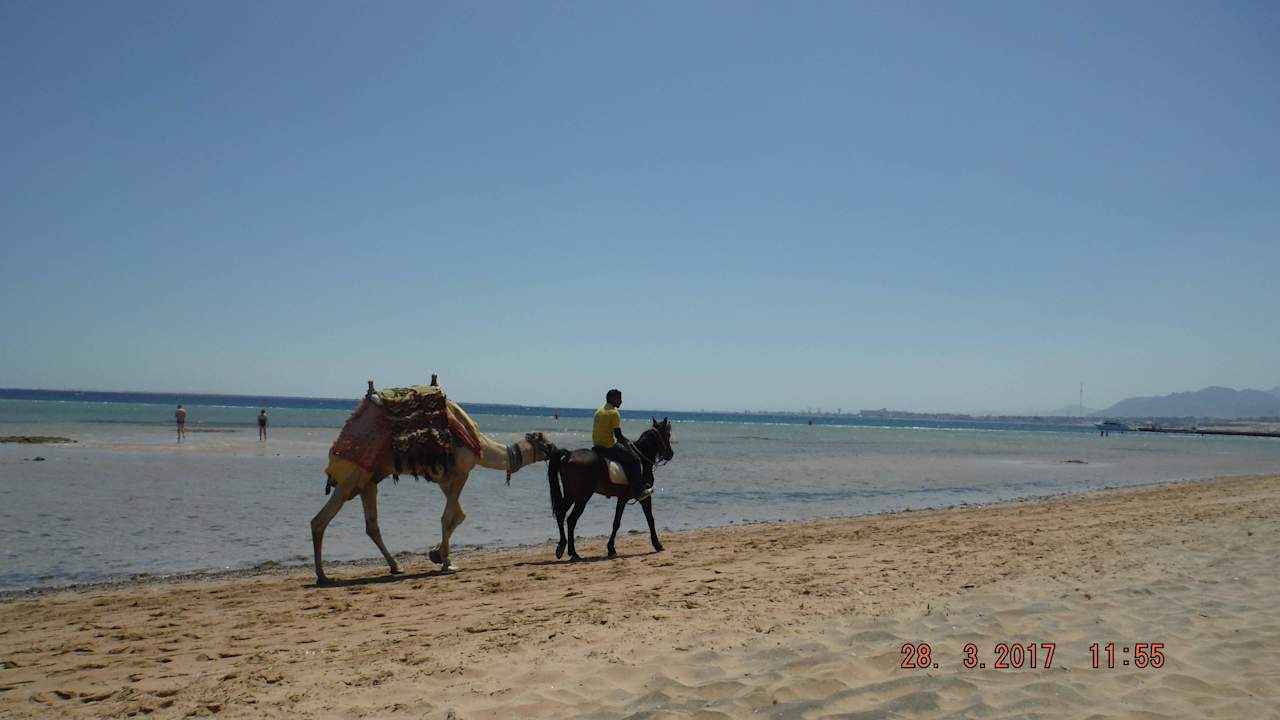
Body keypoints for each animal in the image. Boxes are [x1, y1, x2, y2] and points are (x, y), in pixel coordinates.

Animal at [310, 384, 556, 584]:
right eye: (547, 443)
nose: (558, 450)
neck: (480, 446)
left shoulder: (444, 478)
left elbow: (458, 514)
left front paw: (437, 554)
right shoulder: (461, 472)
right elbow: (449, 516)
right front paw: (447, 562)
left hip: (368, 481)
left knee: (371, 525)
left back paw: (395, 567)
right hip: (353, 476)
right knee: (319, 521)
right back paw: (323, 576)